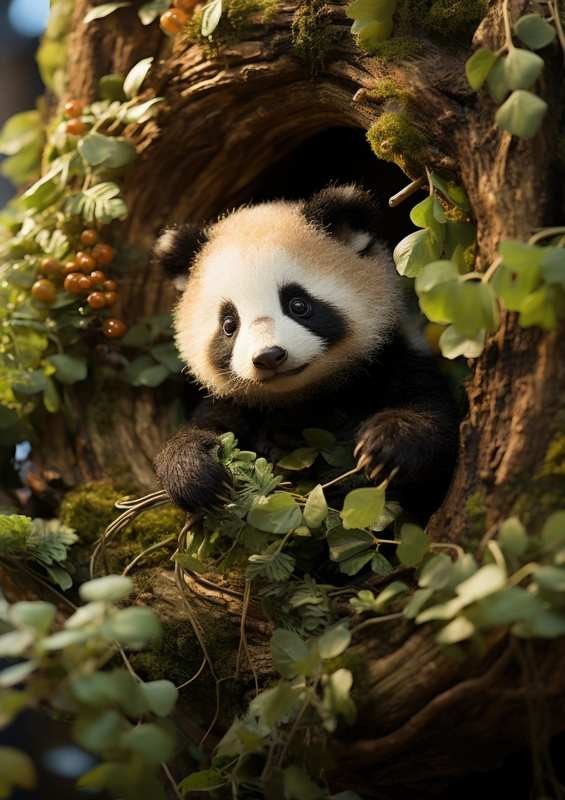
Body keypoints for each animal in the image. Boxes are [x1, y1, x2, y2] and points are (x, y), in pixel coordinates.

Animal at [153, 185, 460, 521]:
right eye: (229, 324)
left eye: (298, 304)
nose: (269, 356)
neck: (302, 396)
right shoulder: (236, 403)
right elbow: (204, 429)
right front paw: (195, 472)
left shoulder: (393, 359)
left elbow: (435, 423)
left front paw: (383, 447)